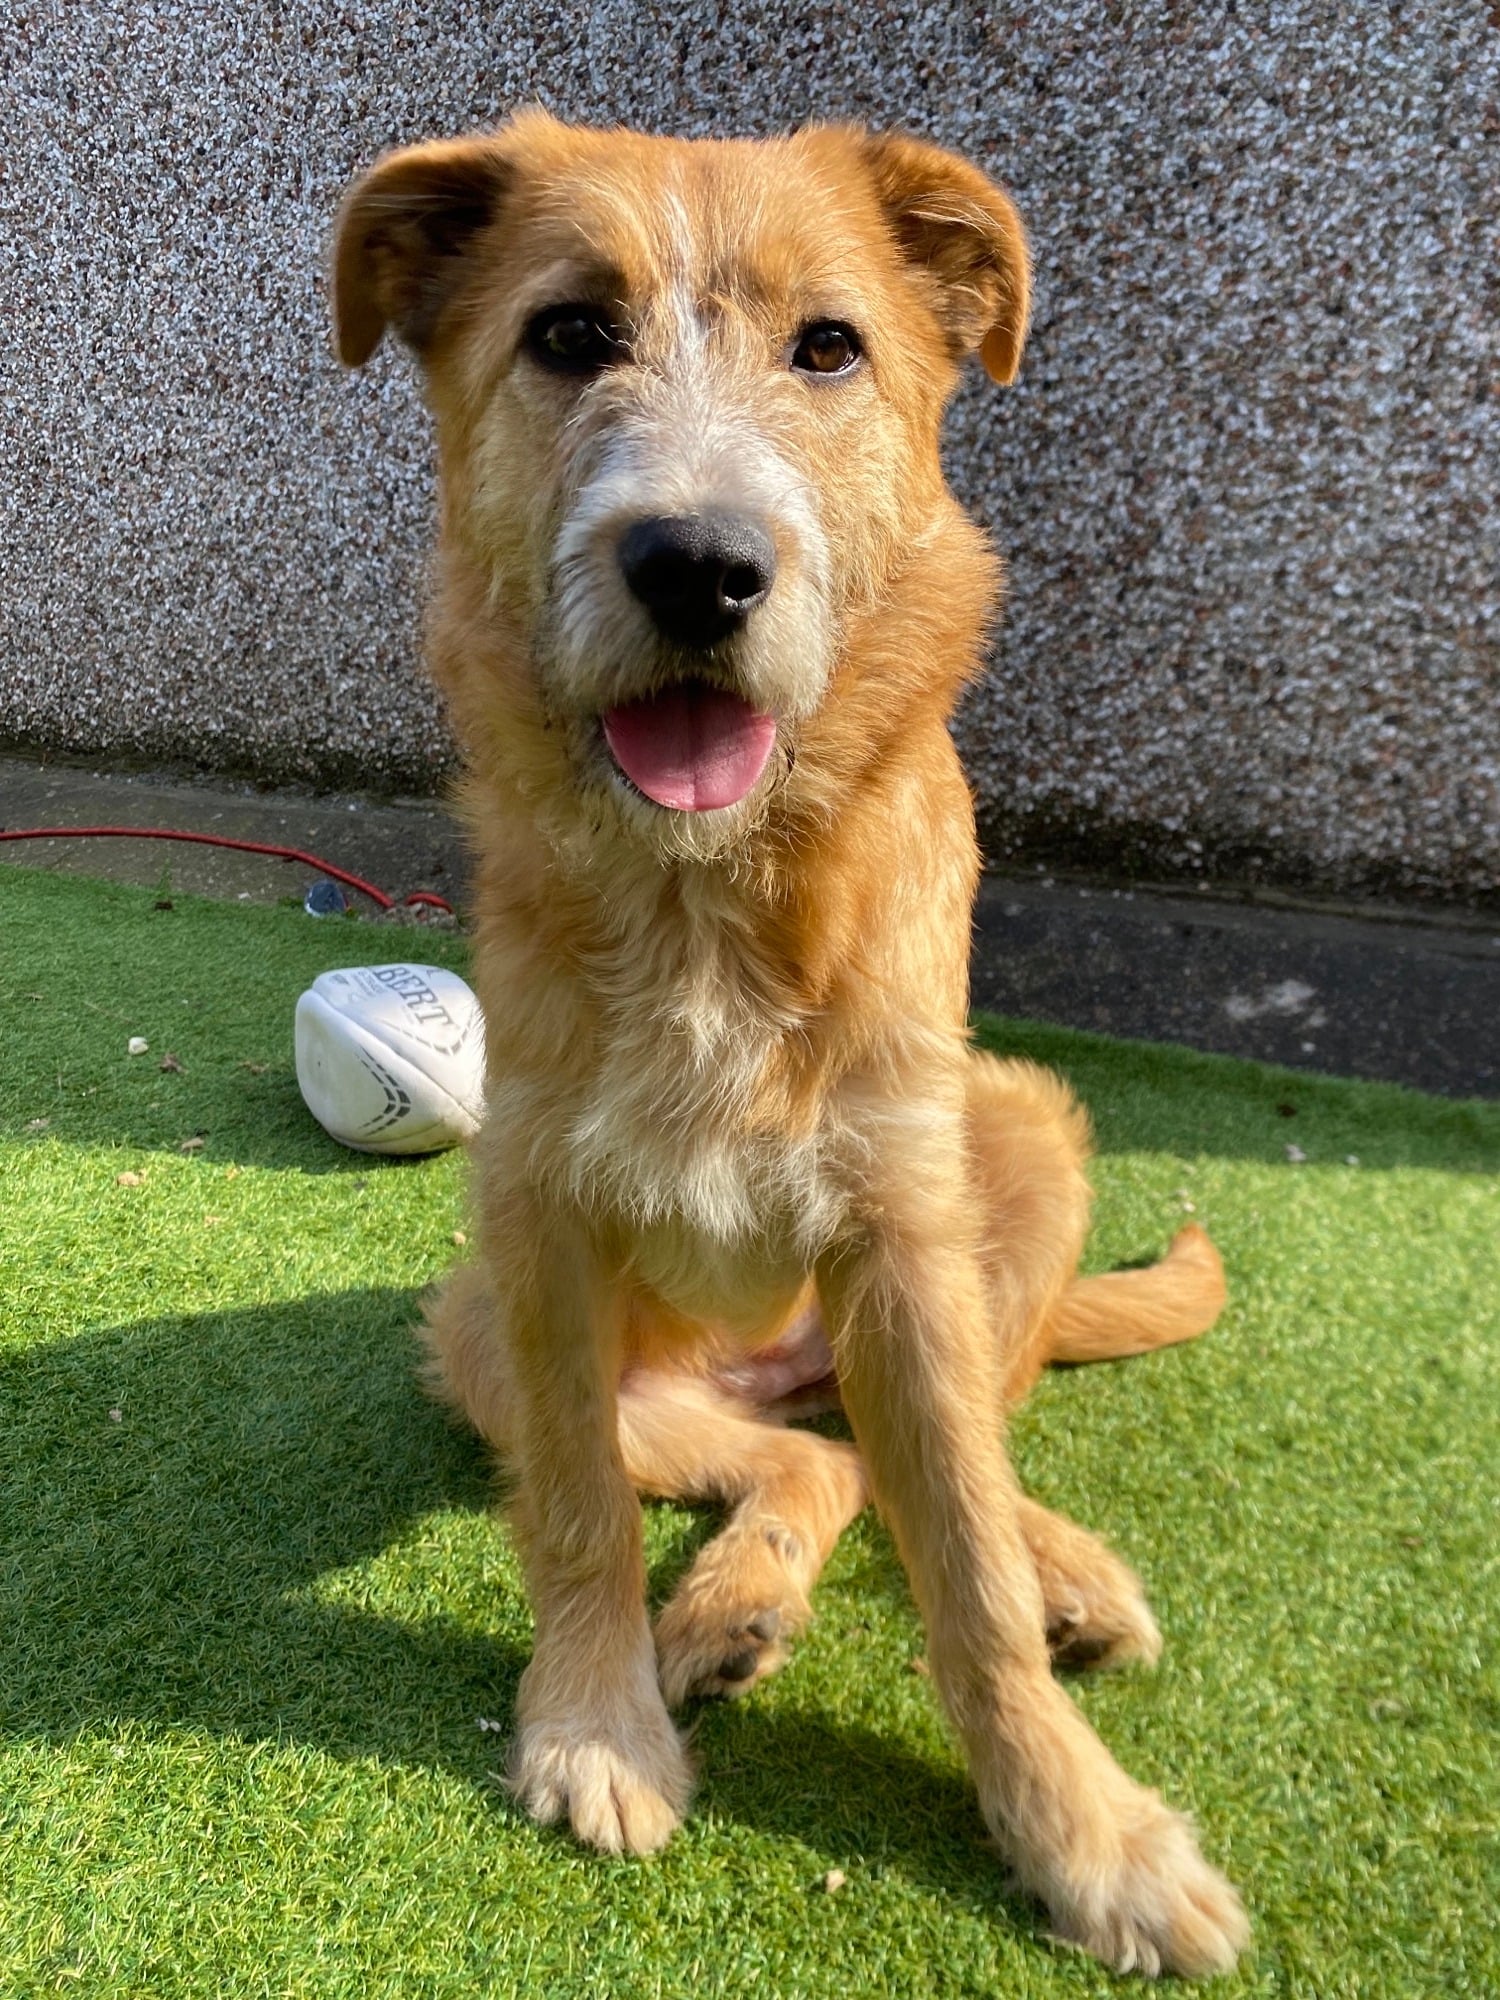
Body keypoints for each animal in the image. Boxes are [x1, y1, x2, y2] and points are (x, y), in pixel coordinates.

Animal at [333, 110, 1248, 1979]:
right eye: (568, 335)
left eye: (830, 347)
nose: (698, 566)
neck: (714, 892)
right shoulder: (534, 1222)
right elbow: (580, 1517)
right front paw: (597, 1724)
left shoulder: (901, 1222)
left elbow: (966, 1565)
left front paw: (1086, 1835)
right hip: (479, 1328)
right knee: (815, 1464)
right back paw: (729, 1607)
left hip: (1016, 1145)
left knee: (933, 1459)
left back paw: (1054, 1565)